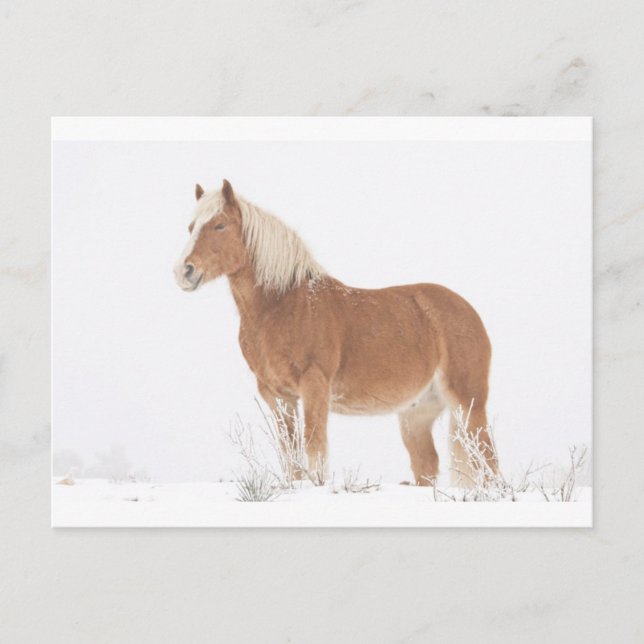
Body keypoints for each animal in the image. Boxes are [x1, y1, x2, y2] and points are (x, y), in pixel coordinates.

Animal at [174, 179, 497, 486]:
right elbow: (290, 455)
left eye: (220, 225)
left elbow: (314, 447)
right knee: (427, 466)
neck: (284, 305)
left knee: (488, 458)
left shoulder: (314, 385)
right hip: (417, 414)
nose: (183, 272)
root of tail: (468, 312)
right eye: (191, 227)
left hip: (467, 404)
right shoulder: (277, 395)